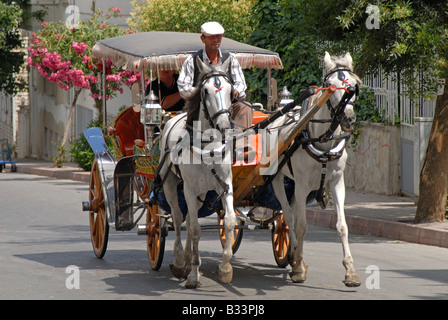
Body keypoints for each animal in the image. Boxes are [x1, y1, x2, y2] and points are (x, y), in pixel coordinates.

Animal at [158, 56, 236, 288]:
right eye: (206, 91)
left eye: (230, 90)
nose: (224, 126)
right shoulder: (189, 190)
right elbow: (194, 229)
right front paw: (193, 274)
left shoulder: (225, 185)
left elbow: (229, 221)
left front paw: (225, 268)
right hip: (171, 185)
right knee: (177, 218)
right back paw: (180, 260)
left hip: (201, 194)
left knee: (189, 219)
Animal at [270, 51, 360, 286]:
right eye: (330, 86)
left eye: (353, 85)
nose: (349, 119)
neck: (322, 141)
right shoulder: (302, 185)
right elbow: (301, 225)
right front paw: (299, 269)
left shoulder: (337, 182)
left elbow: (342, 225)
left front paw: (350, 271)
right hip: (277, 180)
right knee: (288, 214)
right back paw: (295, 257)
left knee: (290, 213)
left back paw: (293, 255)